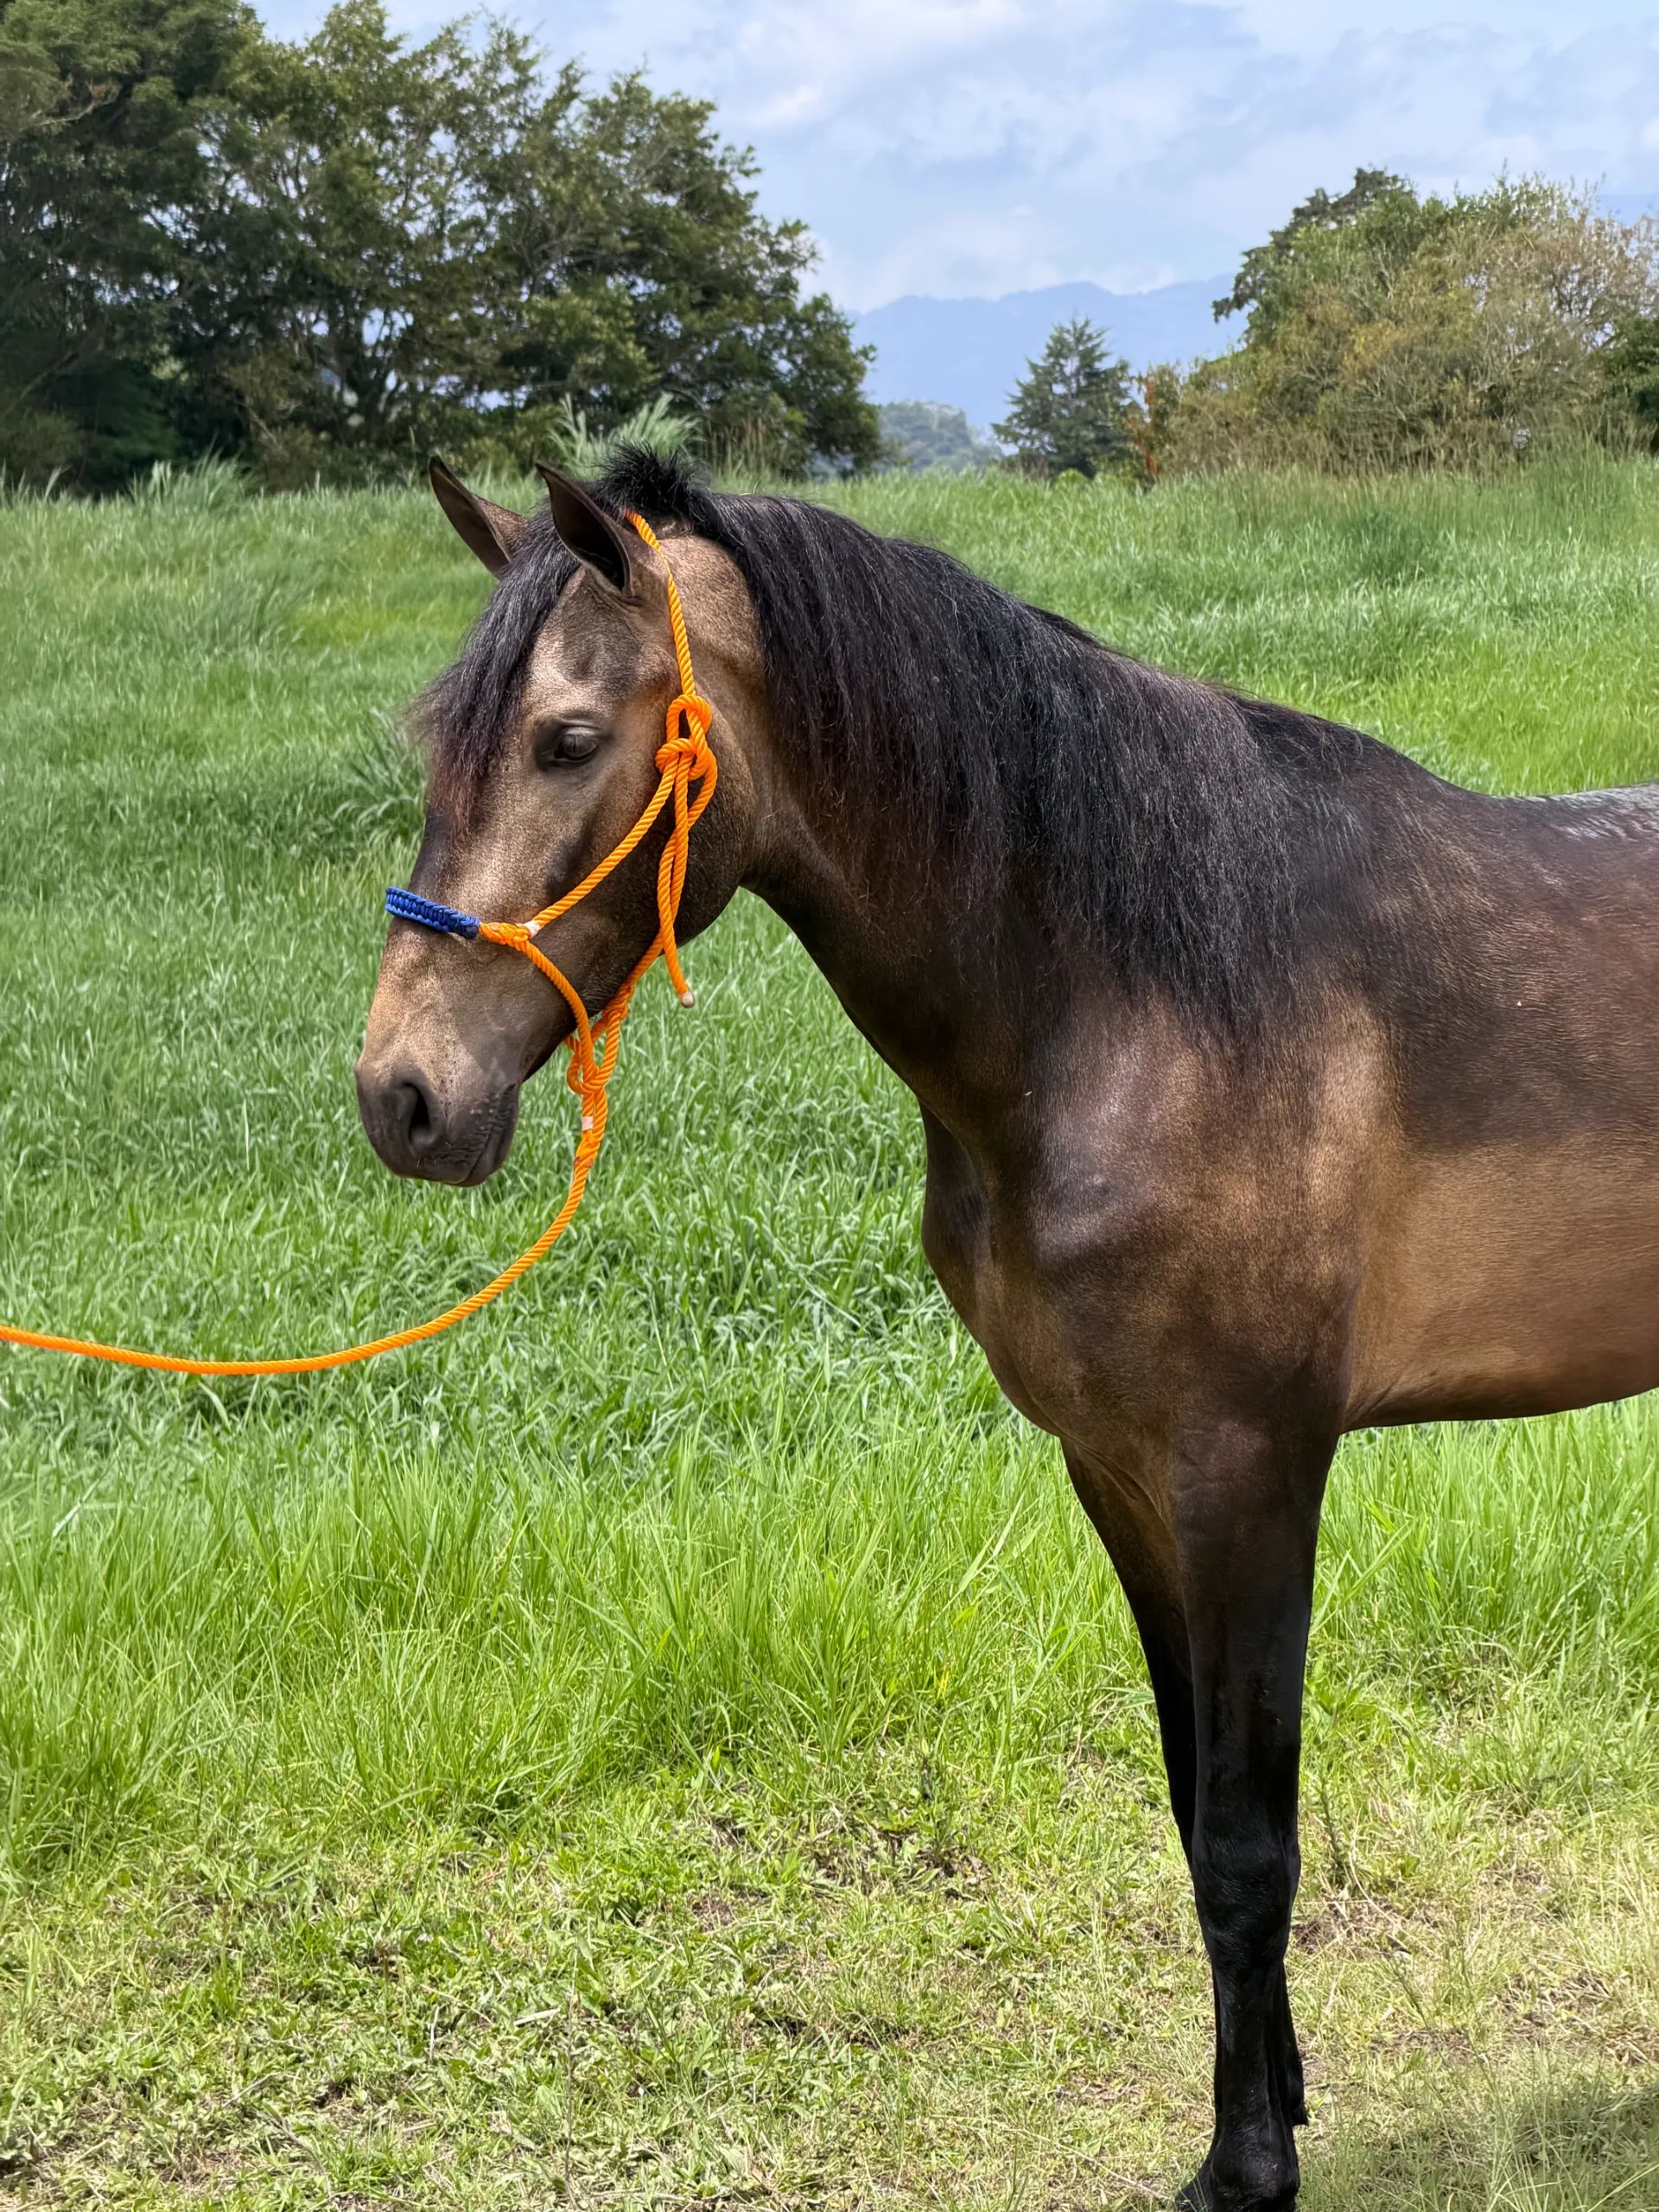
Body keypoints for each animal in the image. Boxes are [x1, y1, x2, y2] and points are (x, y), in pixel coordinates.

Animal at [356, 448, 1659, 2211]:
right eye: (439, 744)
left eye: (566, 738)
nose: (403, 1096)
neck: (1135, 995)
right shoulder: (1116, 1471)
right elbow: (1190, 1800)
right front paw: (1275, 2099)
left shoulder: (1247, 1471)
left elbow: (1248, 1838)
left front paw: (1245, 2166)